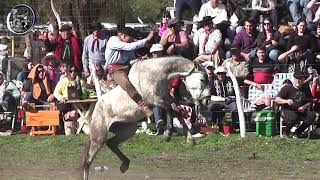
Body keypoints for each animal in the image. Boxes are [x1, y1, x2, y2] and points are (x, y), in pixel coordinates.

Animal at [81, 56, 211, 179]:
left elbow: (176, 111)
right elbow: (169, 109)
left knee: (111, 143)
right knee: (88, 159)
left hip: (127, 130)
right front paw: (167, 133)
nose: (207, 100)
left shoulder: (167, 98)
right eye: (202, 79)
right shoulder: (155, 100)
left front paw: (189, 138)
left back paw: (125, 164)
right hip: (99, 136)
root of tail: (97, 104)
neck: (157, 74)